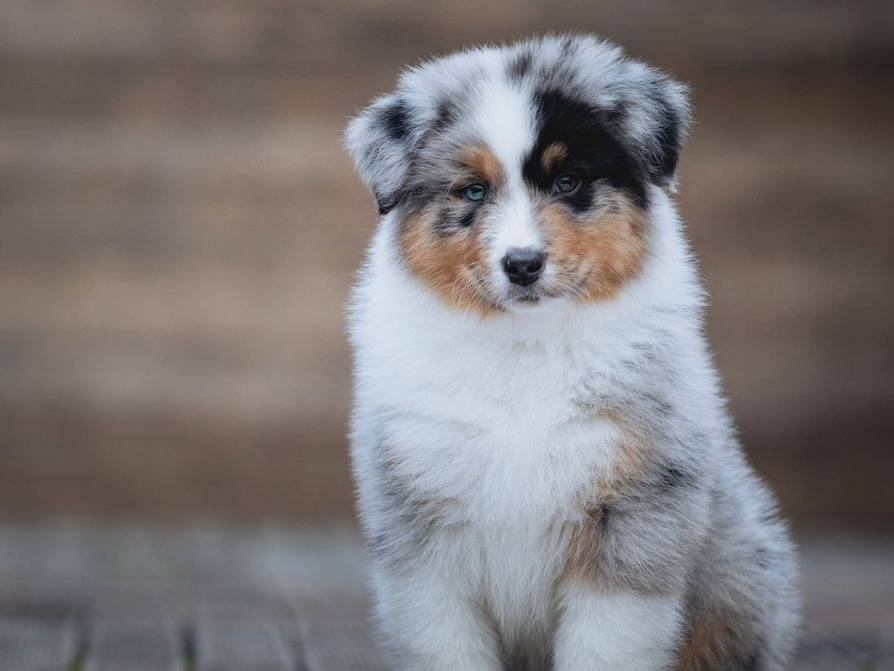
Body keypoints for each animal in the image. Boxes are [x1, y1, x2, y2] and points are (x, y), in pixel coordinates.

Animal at [344, 34, 799, 670]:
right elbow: (448, 643)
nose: (522, 264)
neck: (526, 345)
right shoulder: (424, 530)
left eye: (568, 182)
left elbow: (605, 644)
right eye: (474, 190)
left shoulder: (632, 519)